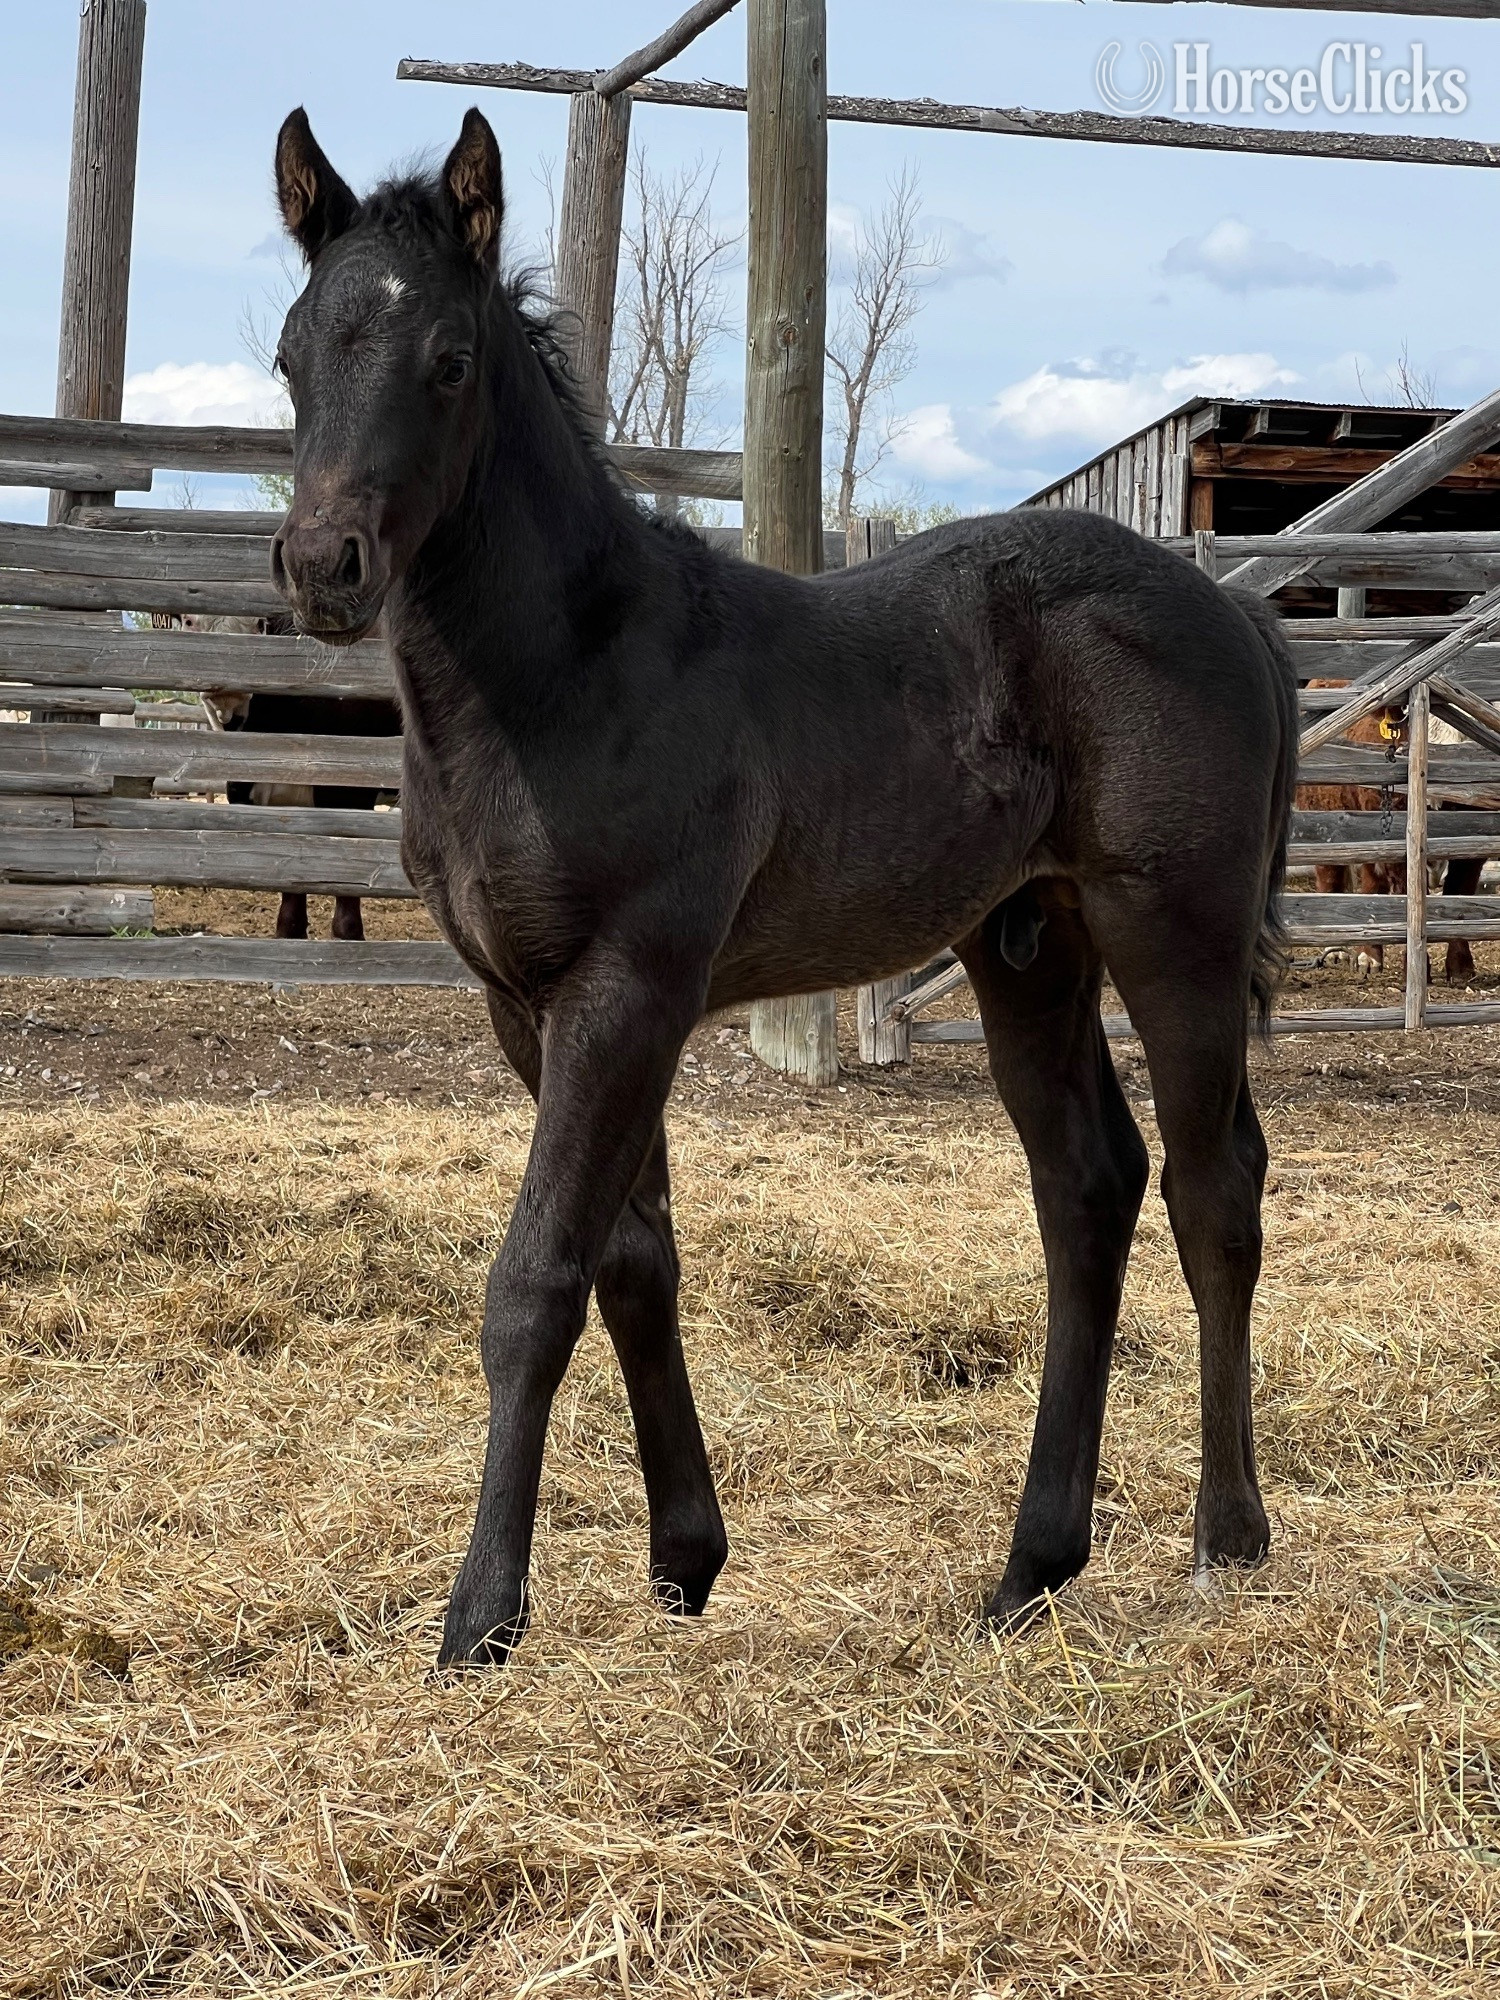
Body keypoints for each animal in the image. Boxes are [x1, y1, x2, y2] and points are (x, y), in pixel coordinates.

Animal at [267, 106, 1299, 1668]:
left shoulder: (629, 989)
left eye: (445, 357)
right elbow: (631, 1259)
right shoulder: (530, 1005)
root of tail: (1226, 605)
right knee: (1087, 1186)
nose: (325, 564)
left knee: (1211, 1183)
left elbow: (536, 1280)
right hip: (1028, 942)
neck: (567, 675)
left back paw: (1226, 1540)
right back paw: (1028, 1569)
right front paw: (683, 1559)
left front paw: (480, 1619)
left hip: (1170, 927)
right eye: (289, 351)